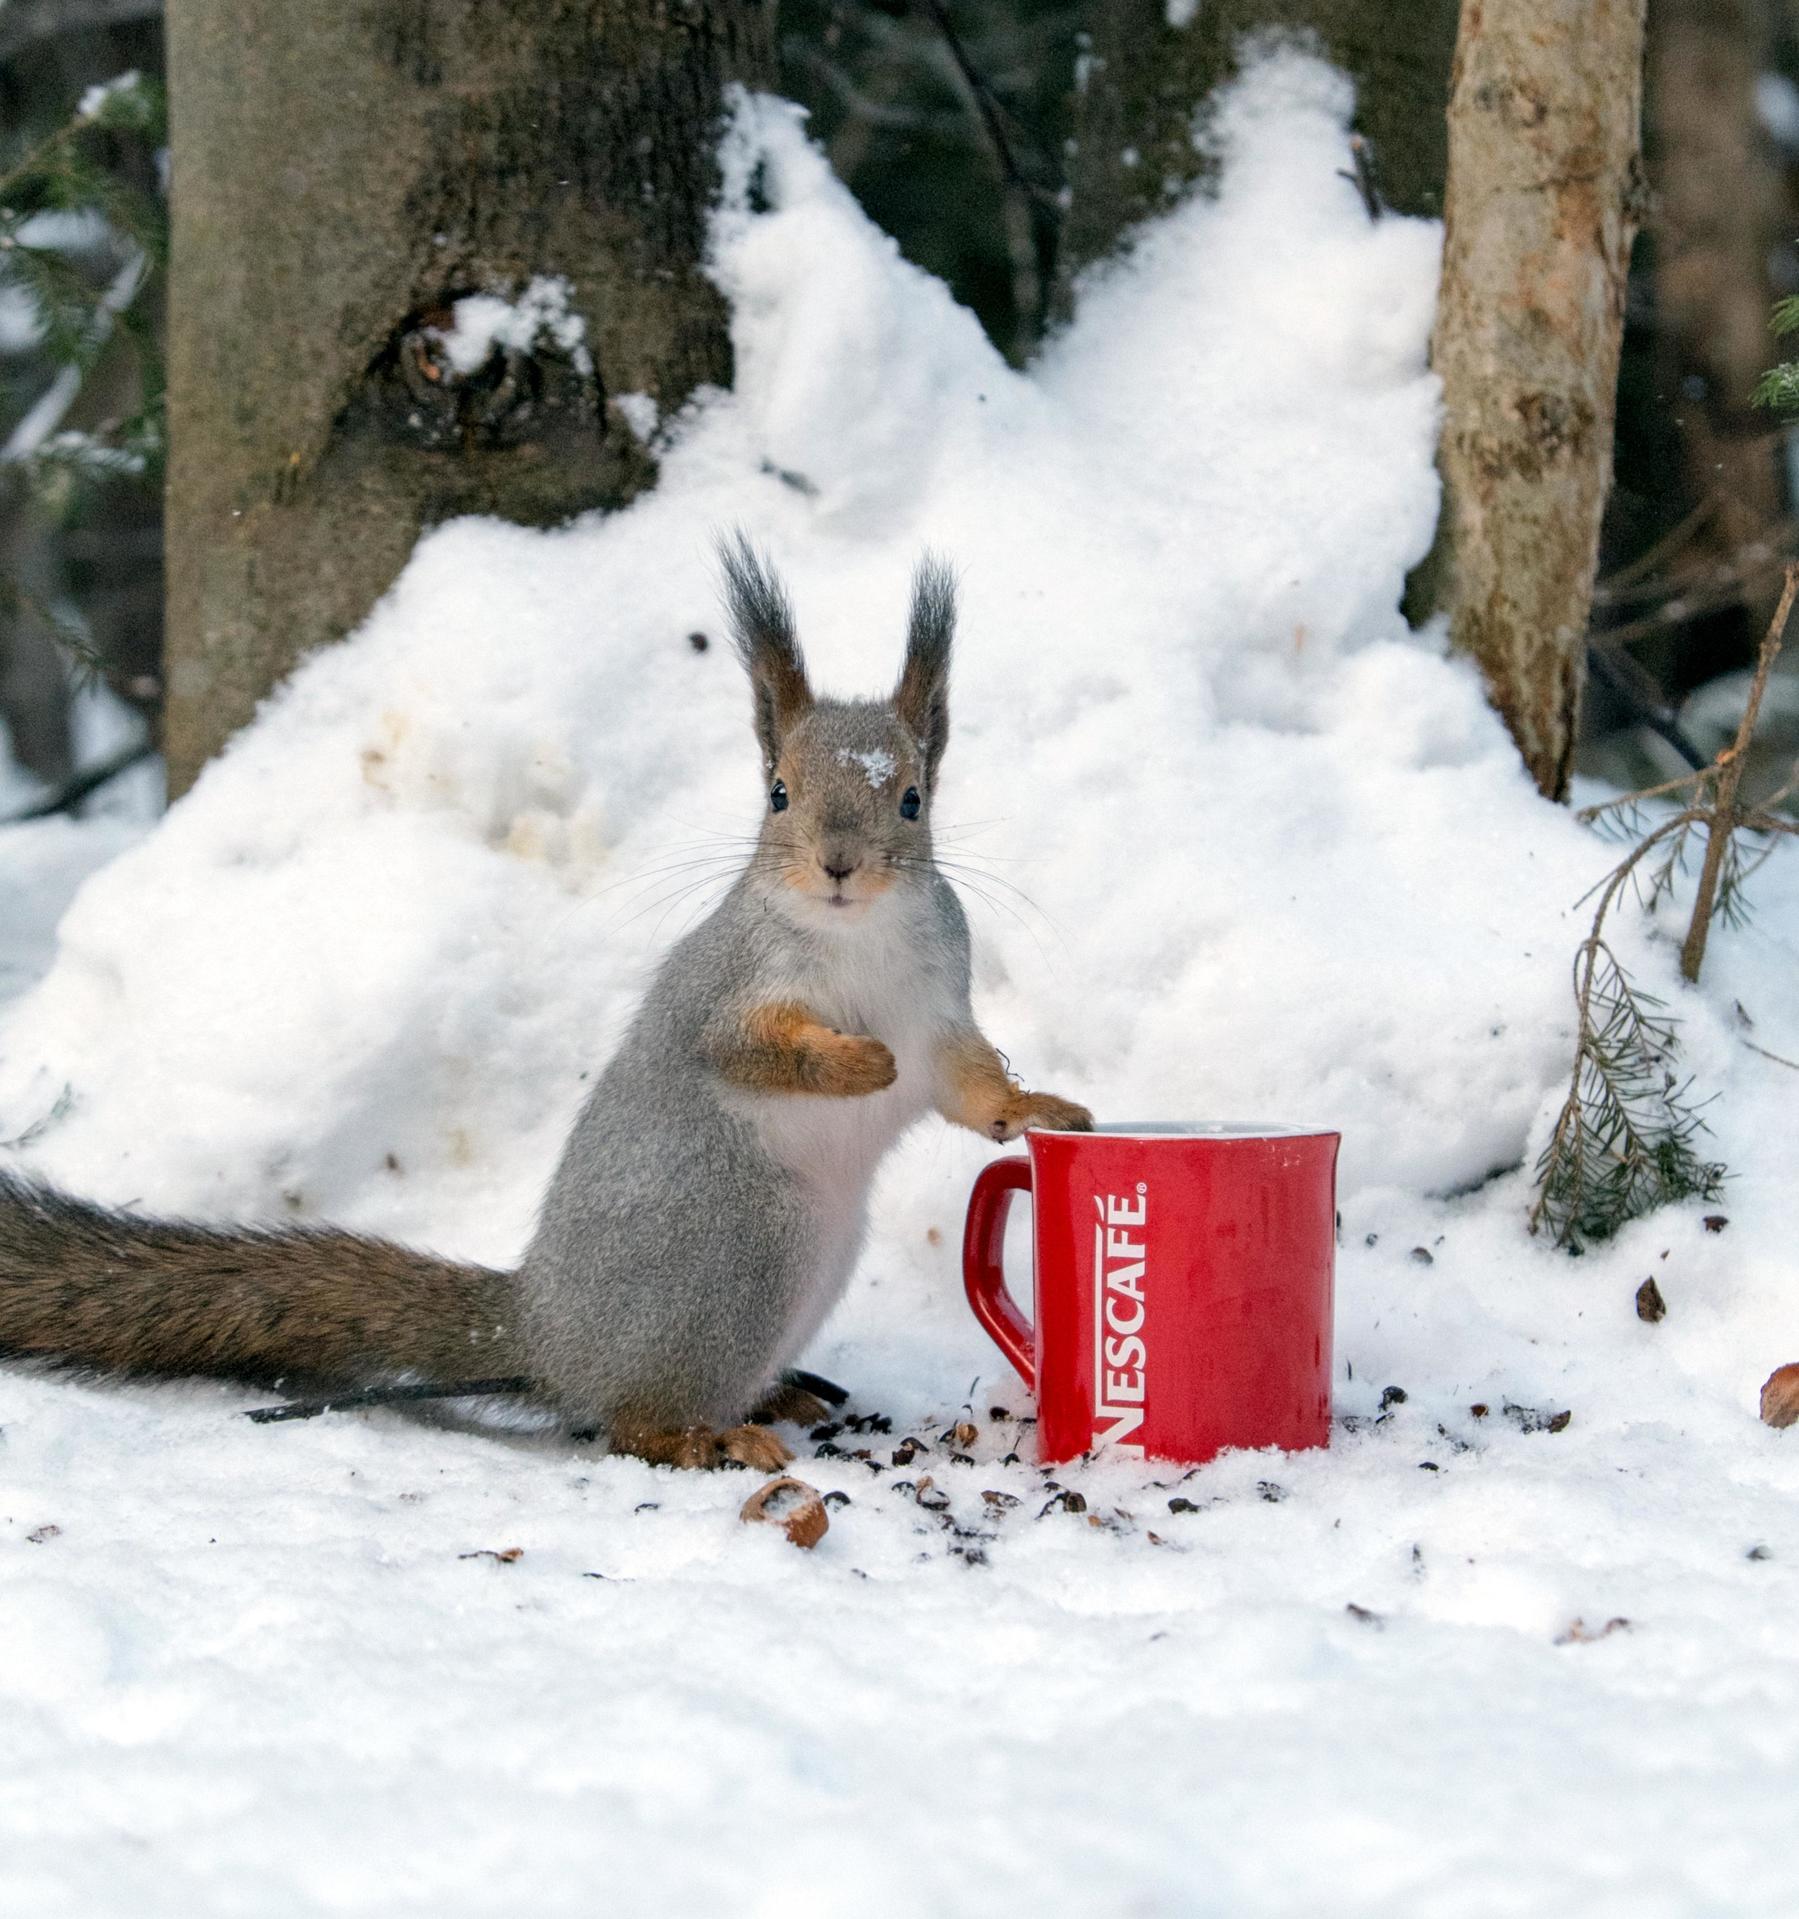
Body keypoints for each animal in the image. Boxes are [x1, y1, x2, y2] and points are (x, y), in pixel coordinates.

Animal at [0, 537, 1090, 1466]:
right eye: (776, 792)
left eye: (911, 799)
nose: (836, 864)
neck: (853, 935)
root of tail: (542, 1328)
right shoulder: (723, 989)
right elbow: (741, 1048)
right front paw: (855, 1061)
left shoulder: (936, 1001)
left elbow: (964, 1084)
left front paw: (1038, 1109)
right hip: (742, 1253)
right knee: (627, 1420)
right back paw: (708, 1436)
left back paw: (771, 1396)